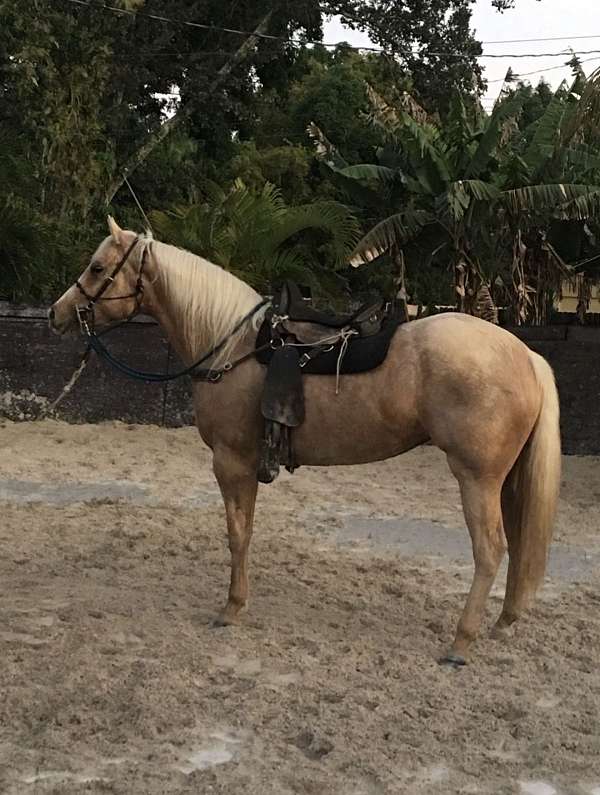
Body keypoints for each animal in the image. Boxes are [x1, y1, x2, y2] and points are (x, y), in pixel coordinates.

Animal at [48, 216, 561, 666]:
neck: (235, 346)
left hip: (476, 478)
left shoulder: (231, 462)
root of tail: (526, 354)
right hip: (504, 480)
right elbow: (246, 531)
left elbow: (237, 534)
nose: (56, 314)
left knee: (489, 550)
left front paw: (232, 608)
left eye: (97, 267)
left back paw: (460, 642)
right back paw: (501, 622)